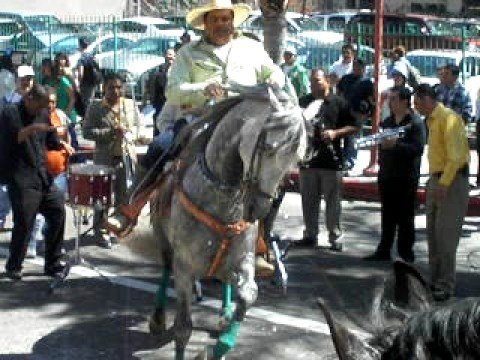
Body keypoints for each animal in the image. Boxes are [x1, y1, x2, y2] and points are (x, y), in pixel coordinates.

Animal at [144, 86, 306, 358]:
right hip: (163, 241)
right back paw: (157, 318)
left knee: (227, 282)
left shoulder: (243, 257)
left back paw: (225, 314)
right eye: (268, 147)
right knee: (166, 270)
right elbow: (183, 328)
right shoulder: (184, 267)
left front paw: (221, 345)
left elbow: (249, 294)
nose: (261, 208)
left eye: (296, 158)